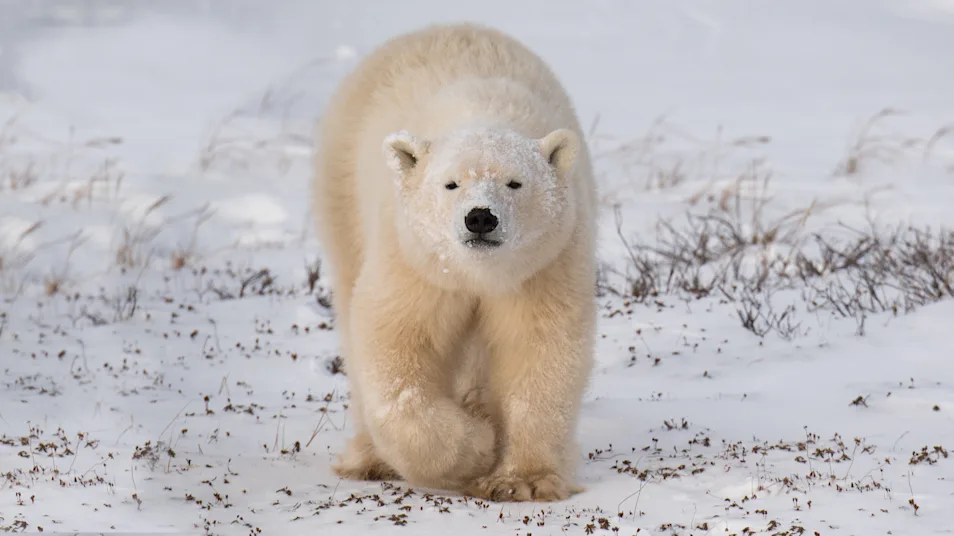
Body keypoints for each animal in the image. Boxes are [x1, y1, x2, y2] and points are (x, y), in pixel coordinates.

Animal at [310, 22, 598, 502]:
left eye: (514, 183)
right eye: (450, 184)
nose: (480, 217)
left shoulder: (544, 264)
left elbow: (539, 349)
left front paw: (520, 480)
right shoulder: (415, 260)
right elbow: (396, 345)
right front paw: (477, 447)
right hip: (343, 193)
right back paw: (370, 458)